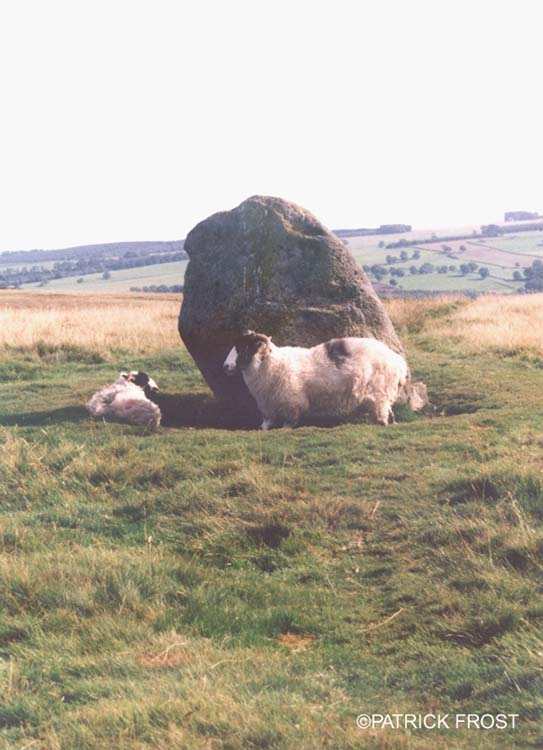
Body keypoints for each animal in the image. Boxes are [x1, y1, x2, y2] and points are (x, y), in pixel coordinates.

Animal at [224, 334, 408, 432]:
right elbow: (265, 424)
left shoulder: (291, 405)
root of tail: (398, 362)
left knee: (383, 416)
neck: (271, 364)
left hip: (380, 396)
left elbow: (288, 424)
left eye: (242, 348)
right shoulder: (269, 406)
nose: (225, 366)